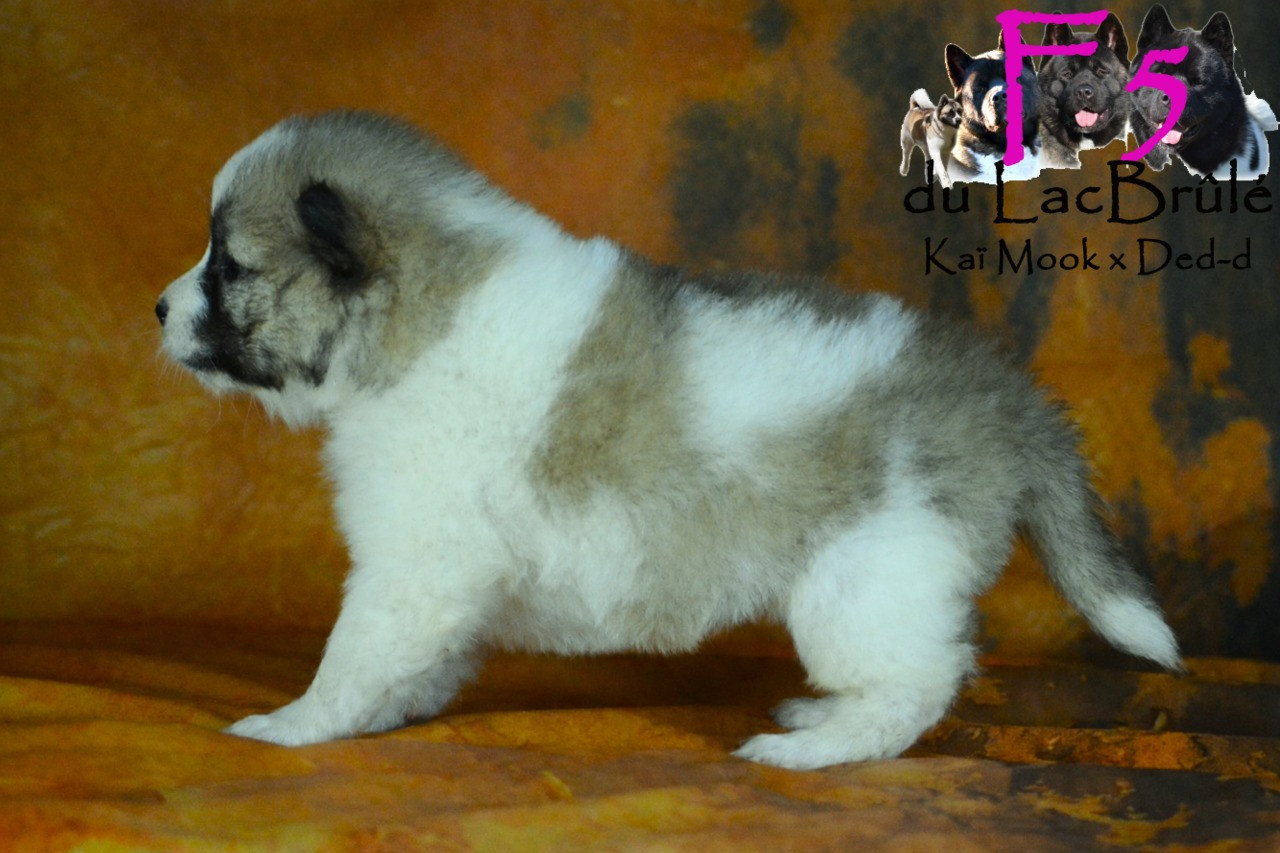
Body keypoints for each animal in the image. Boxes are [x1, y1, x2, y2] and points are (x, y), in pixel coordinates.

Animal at [156, 111, 1179, 770]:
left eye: (230, 266)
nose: (159, 309)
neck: (421, 315)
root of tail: (1006, 395)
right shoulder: (438, 570)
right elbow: (412, 659)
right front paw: (388, 710)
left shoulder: (413, 562)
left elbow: (354, 653)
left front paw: (296, 723)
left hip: (867, 578)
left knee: (919, 683)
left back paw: (813, 748)